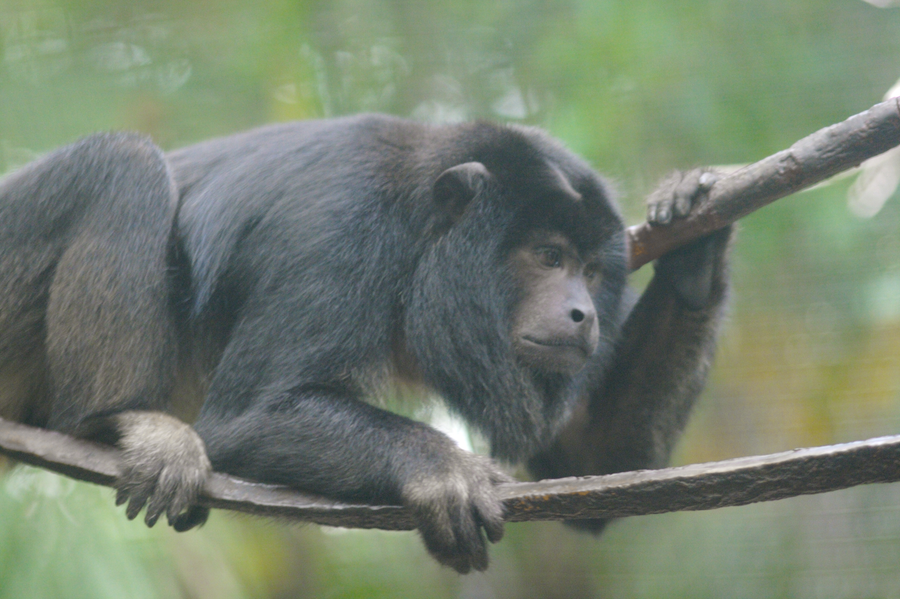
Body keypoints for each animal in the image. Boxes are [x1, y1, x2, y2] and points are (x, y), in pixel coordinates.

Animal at [0, 114, 731, 573]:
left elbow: (591, 458)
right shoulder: (338, 228)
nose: (583, 314)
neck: (419, 229)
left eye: (594, 271)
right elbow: (249, 416)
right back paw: (124, 421)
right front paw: (444, 468)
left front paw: (695, 240)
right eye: (549, 256)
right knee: (121, 164)